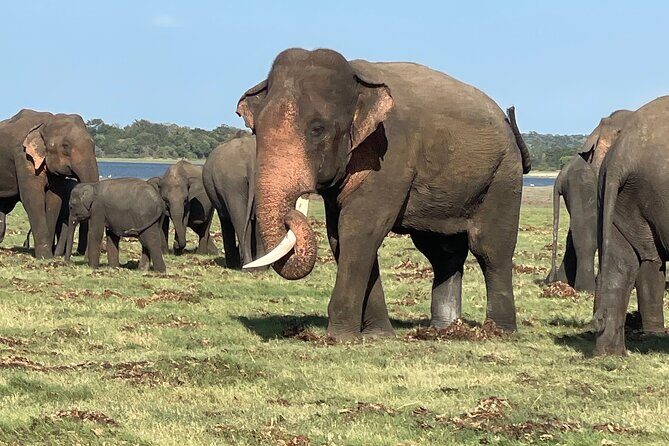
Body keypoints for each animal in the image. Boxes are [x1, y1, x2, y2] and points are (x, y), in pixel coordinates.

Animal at [0, 109, 99, 258]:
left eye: (93, 145)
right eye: (65, 146)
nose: (81, 255)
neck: (45, 122)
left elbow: (54, 200)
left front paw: (48, 255)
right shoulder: (23, 156)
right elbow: (33, 199)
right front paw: (44, 256)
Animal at [237, 48, 531, 340]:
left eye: (317, 129)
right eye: (256, 129)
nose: (291, 215)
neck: (356, 77)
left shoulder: (391, 153)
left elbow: (359, 227)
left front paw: (340, 338)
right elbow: (338, 235)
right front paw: (379, 335)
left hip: (503, 176)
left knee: (490, 248)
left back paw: (499, 331)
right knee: (442, 251)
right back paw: (443, 329)